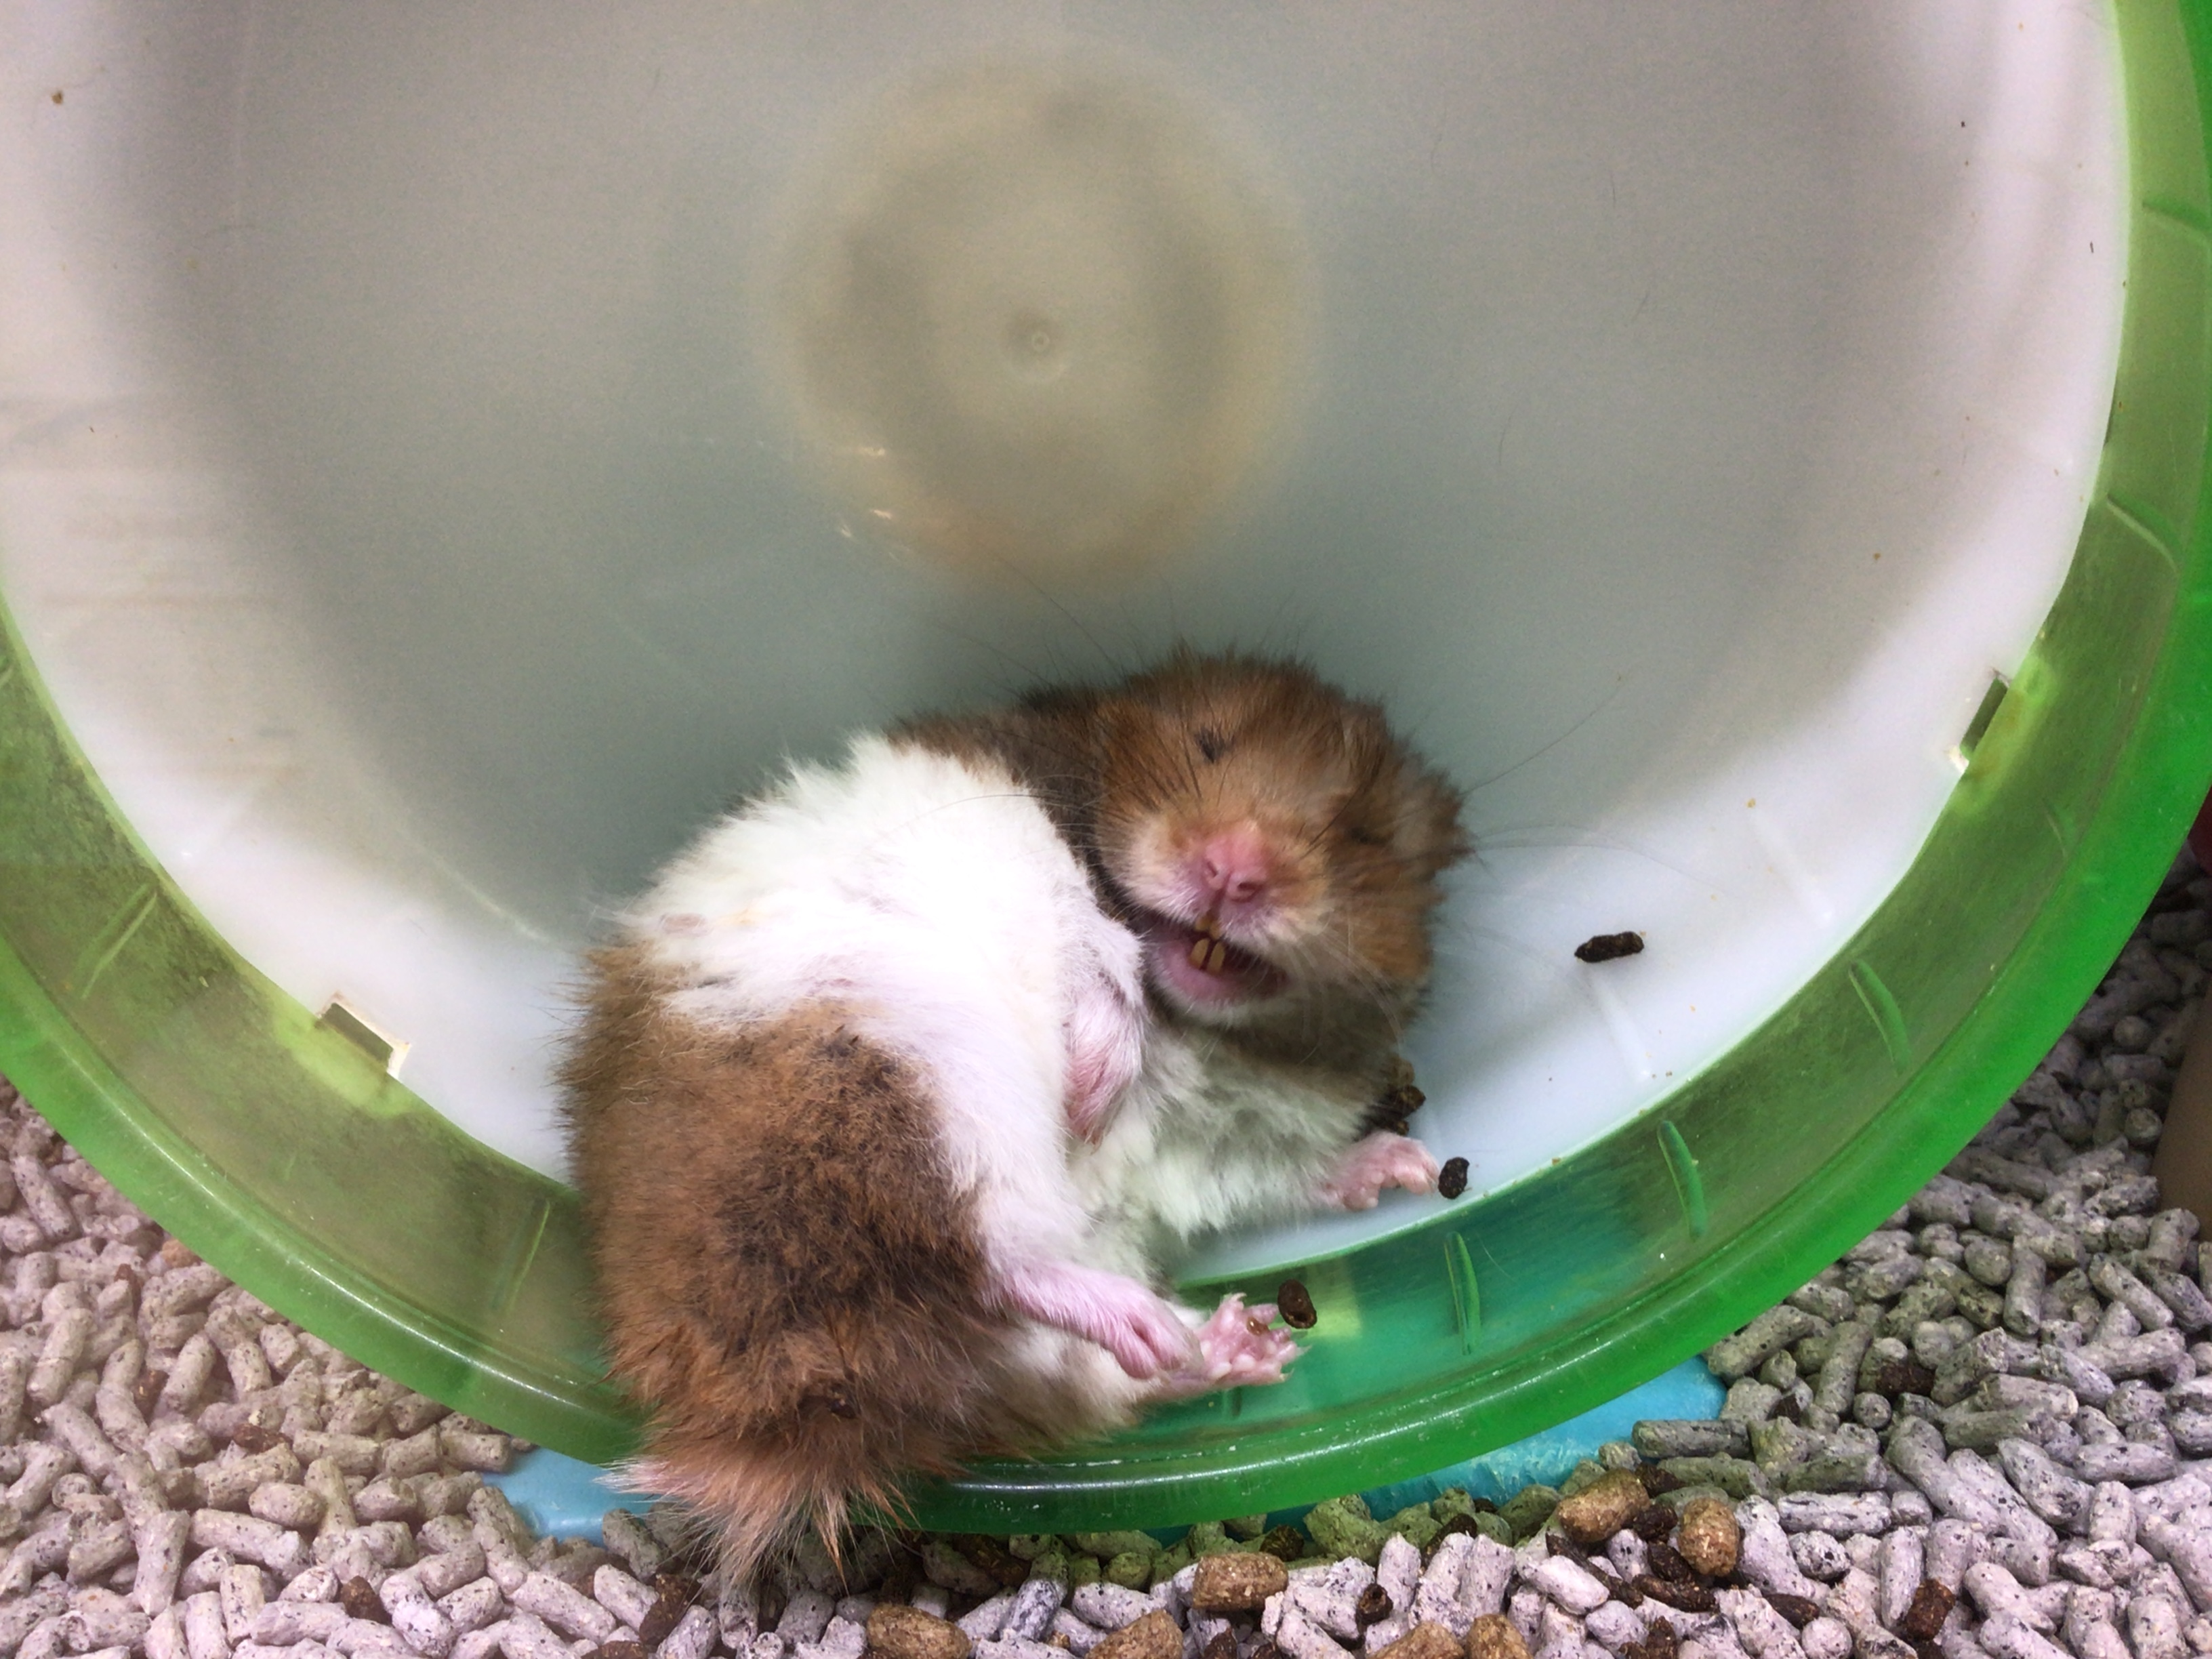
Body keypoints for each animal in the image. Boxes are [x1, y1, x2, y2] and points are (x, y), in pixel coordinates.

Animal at [561, 652, 1468, 1572]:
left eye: (1366, 834)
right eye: (1208, 745)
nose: (1232, 870)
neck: (1207, 1029)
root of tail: (772, 1406)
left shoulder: (1236, 1144)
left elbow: (1293, 1174)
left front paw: (1405, 1167)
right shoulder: (1039, 856)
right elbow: (1098, 939)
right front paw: (1095, 1089)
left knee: (1049, 1361)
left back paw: (1235, 1344)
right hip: (917, 1078)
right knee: (988, 1254)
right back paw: (1160, 1320)